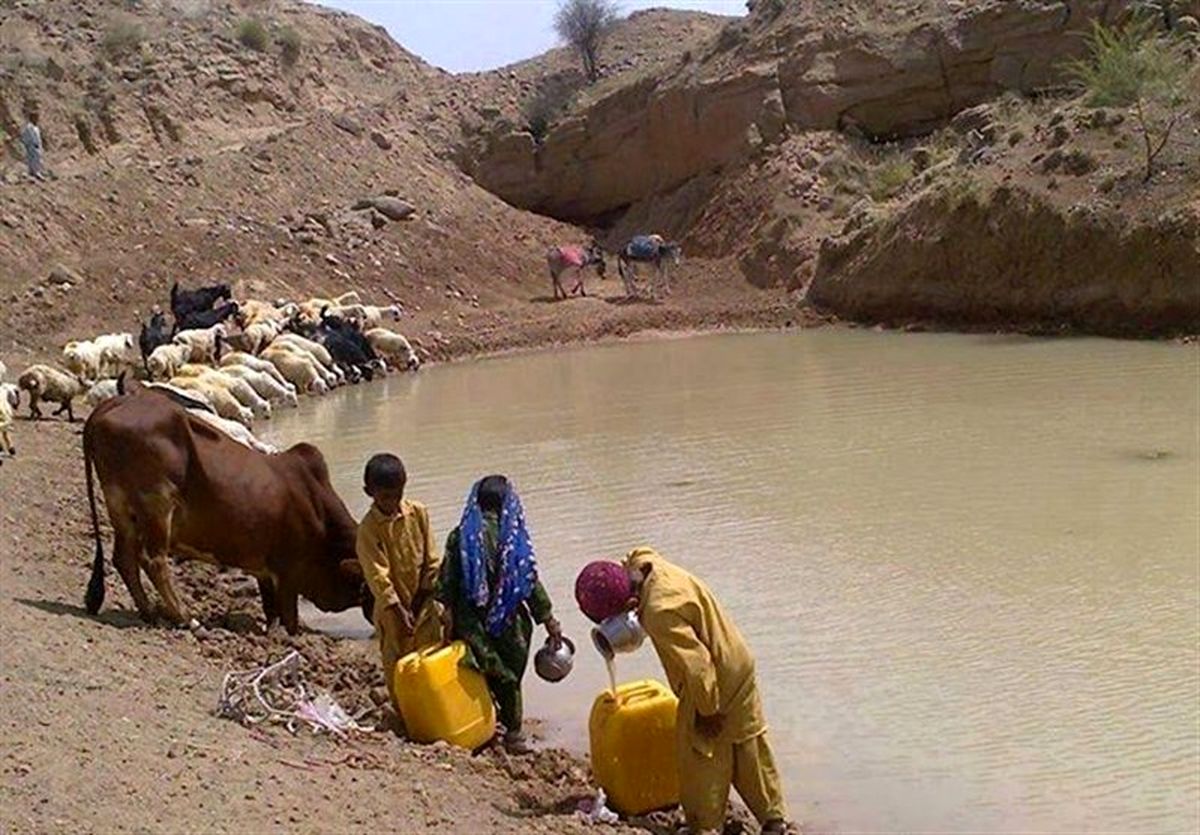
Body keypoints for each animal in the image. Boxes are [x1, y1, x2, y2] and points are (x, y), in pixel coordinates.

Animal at [83, 383, 369, 633]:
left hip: (119, 506)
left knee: (124, 559)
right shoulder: (288, 574)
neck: (318, 509)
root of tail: (112, 404)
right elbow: (289, 619)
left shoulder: (263, 570)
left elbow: (271, 612)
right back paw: (186, 619)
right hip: (157, 505)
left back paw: (150, 613)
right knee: (153, 561)